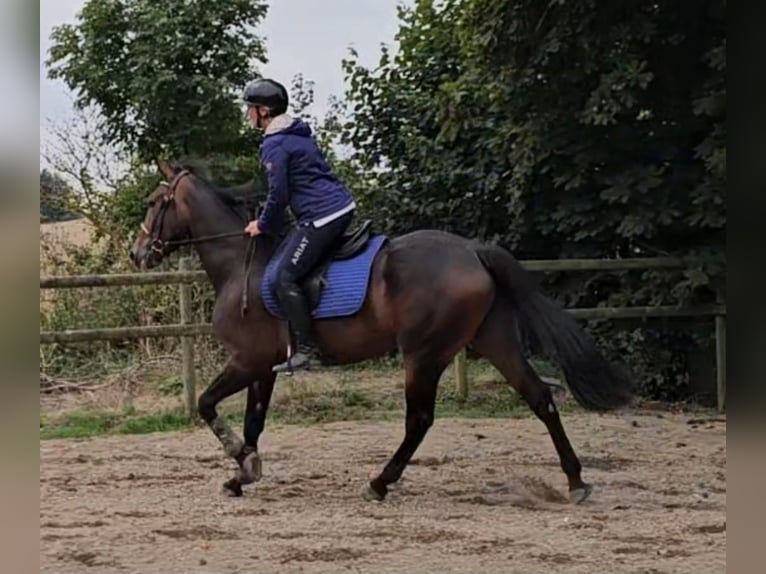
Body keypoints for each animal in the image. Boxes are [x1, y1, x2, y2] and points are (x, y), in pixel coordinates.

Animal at [130, 160, 636, 506]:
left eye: (155, 203)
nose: (138, 254)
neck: (241, 265)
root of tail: (473, 251)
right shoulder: (264, 367)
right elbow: (254, 421)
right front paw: (244, 474)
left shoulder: (247, 360)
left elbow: (206, 404)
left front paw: (239, 458)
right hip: (494, 340)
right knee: (539, 397)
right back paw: (576, 481)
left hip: (424, 353)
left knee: (420, 420)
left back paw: (379, 483)